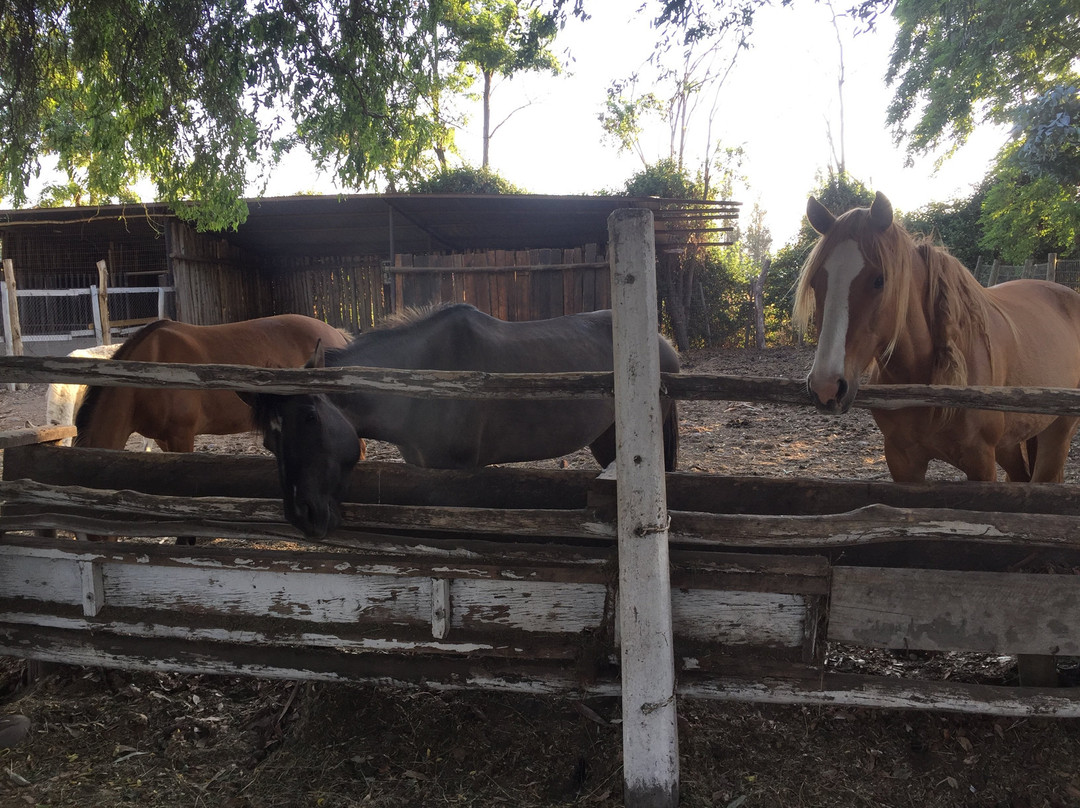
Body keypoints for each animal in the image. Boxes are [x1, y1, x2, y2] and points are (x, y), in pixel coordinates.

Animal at [248, 306, 678, 540]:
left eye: (310, 417)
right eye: (268, 442)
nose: (301, 516)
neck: (422, 380)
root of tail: (662, 343)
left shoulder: (456, 472)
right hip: (607, 440)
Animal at [790, 192, 1080, 483]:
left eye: (880, 280)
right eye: (816, 282)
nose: (826, 387)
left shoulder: (981, 463)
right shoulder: (902, 461)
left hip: (1056, 435)